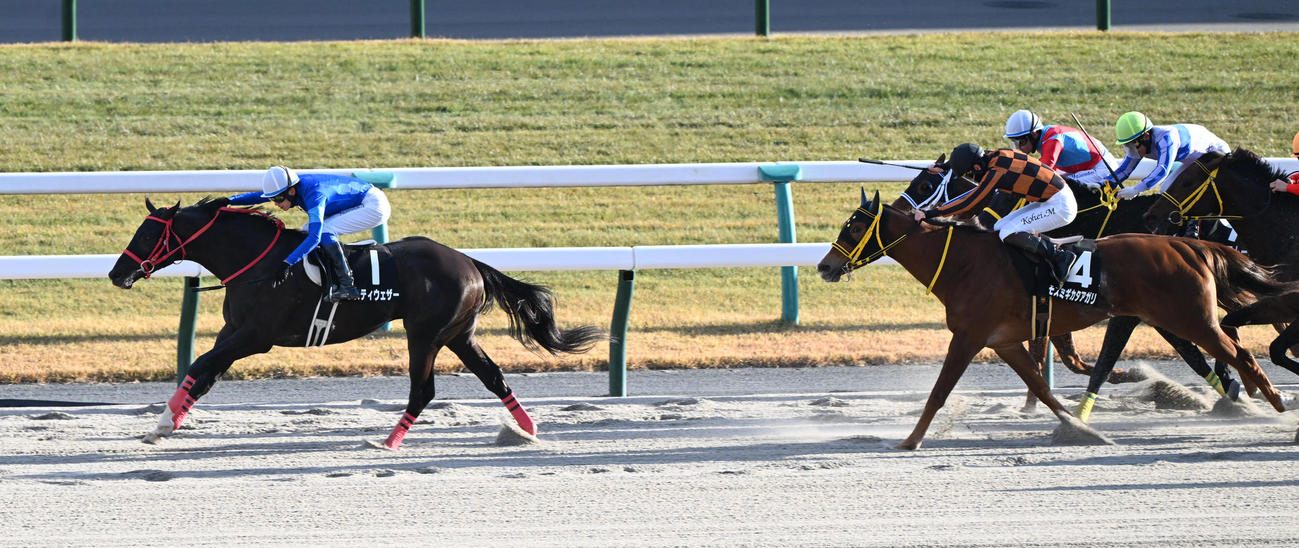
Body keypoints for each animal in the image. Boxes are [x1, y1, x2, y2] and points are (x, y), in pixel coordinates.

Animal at [108, 198, 604, 449]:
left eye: (148, 233)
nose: (117, 273)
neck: (257, 262)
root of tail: (469, 262)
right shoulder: (236, 331)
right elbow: (203, 372)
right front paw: (164, 424)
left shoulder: (256, 336)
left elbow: (201, 366)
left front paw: (162, 425)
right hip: (459, 335)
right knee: (494, 376)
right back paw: (526, 430)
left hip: (425, 333)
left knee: (423, 390)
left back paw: (388, 442)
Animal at [817, 189, 1290, 450]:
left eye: (853, 229)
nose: (824, 266)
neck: (963, 262)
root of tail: (1188, 245)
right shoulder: (1003, 341)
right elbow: (1042, 388)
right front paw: (1083, 430)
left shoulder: (968, 337)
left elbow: (938, 394)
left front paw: (910, 440)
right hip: (1181, 318)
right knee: (1238, 351)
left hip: (1191, 319)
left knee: (1241, 353)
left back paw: (1277, 405)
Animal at [895, 162, 1246, 417]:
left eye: (924, 185)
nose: (898, 210)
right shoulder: (1047, 300)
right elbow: (1065, 357)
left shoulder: (1134, 310)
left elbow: (1188, 354)